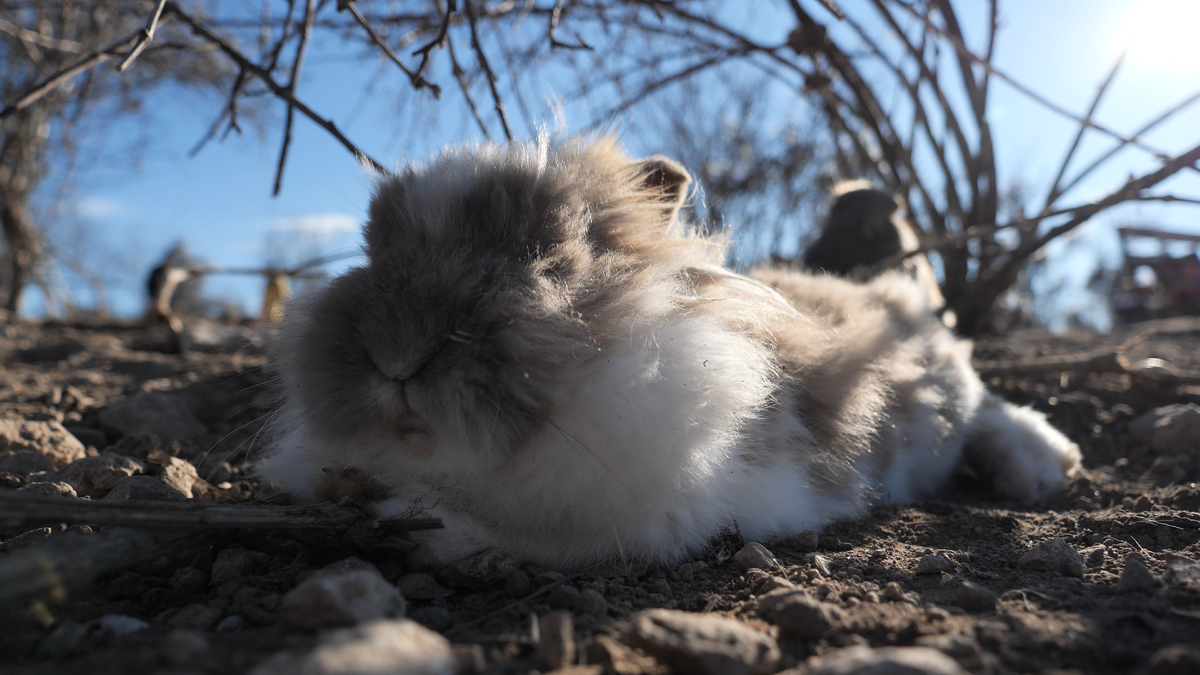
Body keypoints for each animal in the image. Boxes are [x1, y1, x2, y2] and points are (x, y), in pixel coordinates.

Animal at [265, 133, 1089, 564]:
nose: (395, 356)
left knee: (990, 408)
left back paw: (1042, 466)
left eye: (546, 257)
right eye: (371, 249)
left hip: (951, 390)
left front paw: (402, 511)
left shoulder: (625, 516)